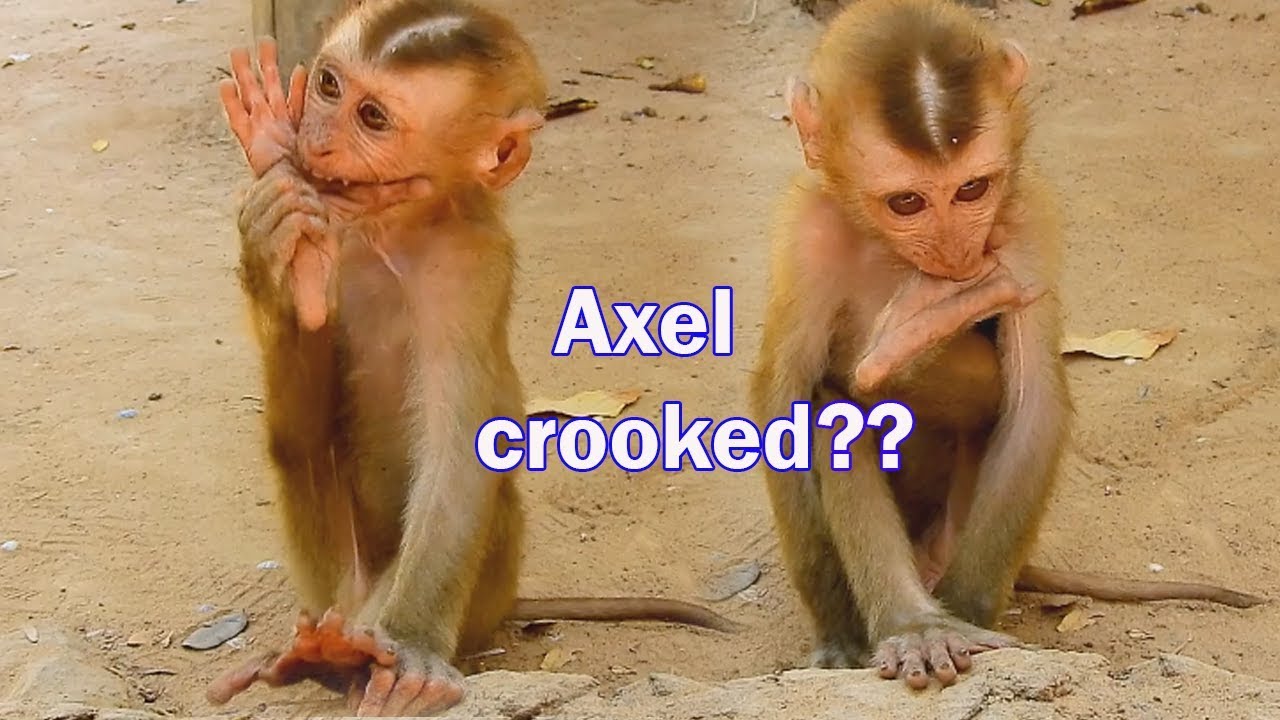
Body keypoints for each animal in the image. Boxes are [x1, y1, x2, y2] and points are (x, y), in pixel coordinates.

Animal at [205, 2, 736, 716]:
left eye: (372, 118)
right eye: (329, 86)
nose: (315, 139)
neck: (390, 227)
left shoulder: (470, 271)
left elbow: (460, 454)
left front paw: (410, 651)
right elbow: (304, 432)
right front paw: (283, 252)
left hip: (476, 591)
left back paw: (342, 657)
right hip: (328, 584)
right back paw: (312, 660)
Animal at [750, 0, 1264, 691]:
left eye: (972, 189)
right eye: (907, 201)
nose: (955, 252)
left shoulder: (1026, 218)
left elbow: (1034, 399)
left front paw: (967, 617)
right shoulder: (805, 235)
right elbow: (783, 400)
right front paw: (842, 639)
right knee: (834, 404)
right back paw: (912, 623)